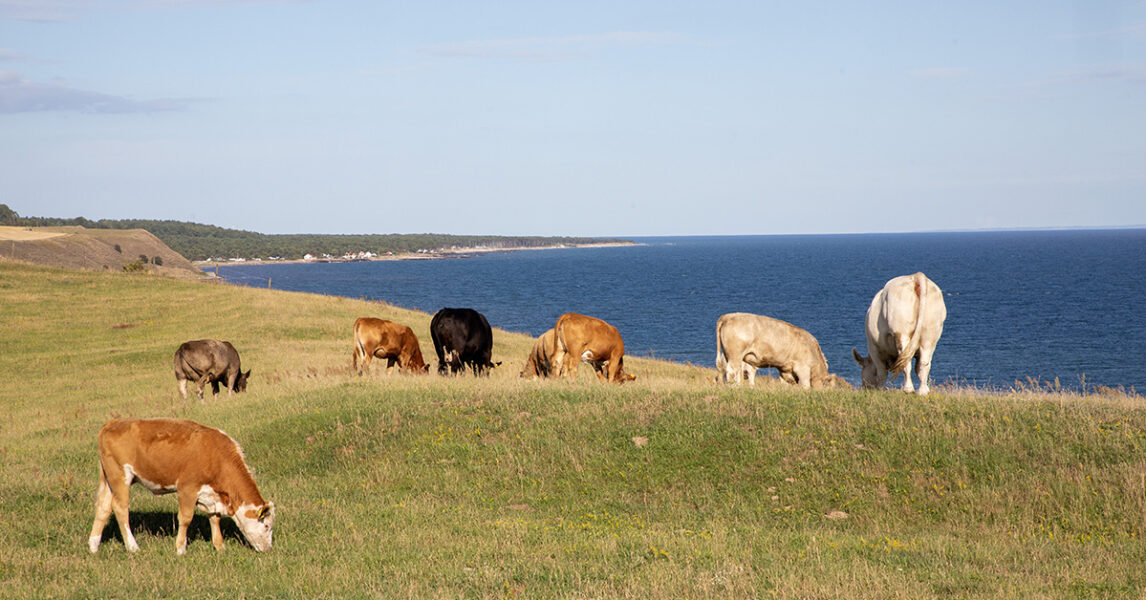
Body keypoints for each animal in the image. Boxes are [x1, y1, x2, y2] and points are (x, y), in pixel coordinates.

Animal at [87, 416, 275, 554]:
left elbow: (215, 518)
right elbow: (185, 518)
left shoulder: (211, 494)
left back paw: (94, 546)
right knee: (120, 508)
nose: (268, 549)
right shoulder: (187, 488)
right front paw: (180, 548)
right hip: (120, 477)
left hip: (109, 480)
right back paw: (133, 547)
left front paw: (220, 547)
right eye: (267, 526)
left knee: (103, 507)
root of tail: (113, 423)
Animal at [715, 311, 852, 391]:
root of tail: (730, 315)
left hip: (729, 356)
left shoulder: (784, 370)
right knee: (731, 372)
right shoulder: (802, 368)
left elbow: (784, 384)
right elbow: (805, 386)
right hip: (735, 355)